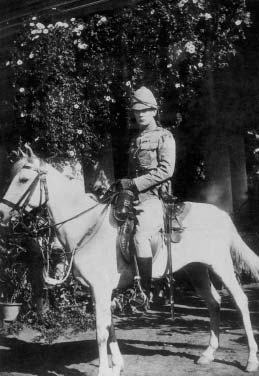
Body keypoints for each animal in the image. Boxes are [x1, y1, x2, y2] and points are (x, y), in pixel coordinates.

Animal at [0, 150, 259, 376]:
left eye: (23, 179)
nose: (2, 214)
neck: (88, 226)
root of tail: (223, 215)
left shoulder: (101, 289)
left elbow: (101, 331)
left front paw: (104, 370)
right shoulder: (100, 291)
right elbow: (110, 327)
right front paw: (117, 365)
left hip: (221, 266)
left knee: (240, 301)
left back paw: (251, 360)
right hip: (197, 270)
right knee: (214, 302)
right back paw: (208, 354)